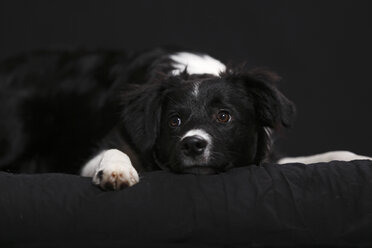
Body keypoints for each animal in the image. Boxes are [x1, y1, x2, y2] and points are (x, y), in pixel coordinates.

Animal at [0, 48, 370, 190]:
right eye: (174, 121)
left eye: (224, 116)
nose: (193, 145)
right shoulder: (104, 145)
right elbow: (113, 151)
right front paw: (117, 171)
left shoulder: (265, 156)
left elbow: (313, 158)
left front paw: (356, 157)